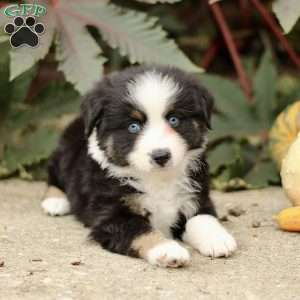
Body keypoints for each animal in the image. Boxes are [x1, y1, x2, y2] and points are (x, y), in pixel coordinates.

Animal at [41, 65, 237, 268]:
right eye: (133, 126)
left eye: (174, 119)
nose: (161, 156)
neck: (158, 178)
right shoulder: (113, 216)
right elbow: (142, 230)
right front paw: (168, 250)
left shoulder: (196, 196)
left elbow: (202, 218)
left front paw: (217, 239)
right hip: (64, 154)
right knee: (53, 174)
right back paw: (55, 202)